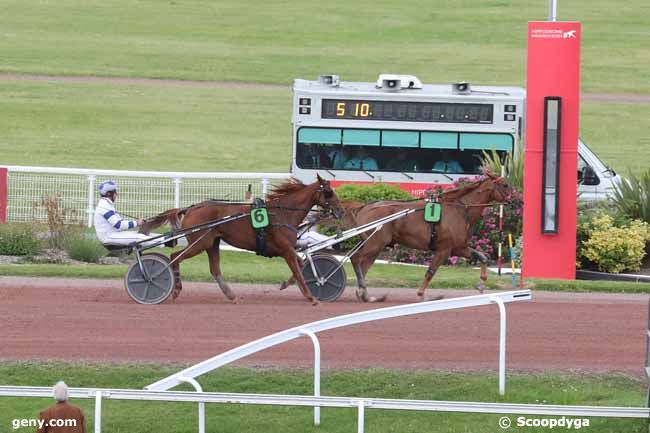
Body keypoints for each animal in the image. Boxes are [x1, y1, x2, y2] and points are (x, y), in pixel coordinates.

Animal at [147, 176, 342, 304]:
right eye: (328, 192)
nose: (341, 211)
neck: (283, 214)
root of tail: (191, 208)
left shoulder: (288, 250)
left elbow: (300, 266)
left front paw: (286, 284)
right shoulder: (286, 250)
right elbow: (298, 269)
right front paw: (311, 296)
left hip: (211, 243)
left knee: (214, 269)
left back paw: (231, 296)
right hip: (200, 243)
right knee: (175, 257)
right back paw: (174, 289)